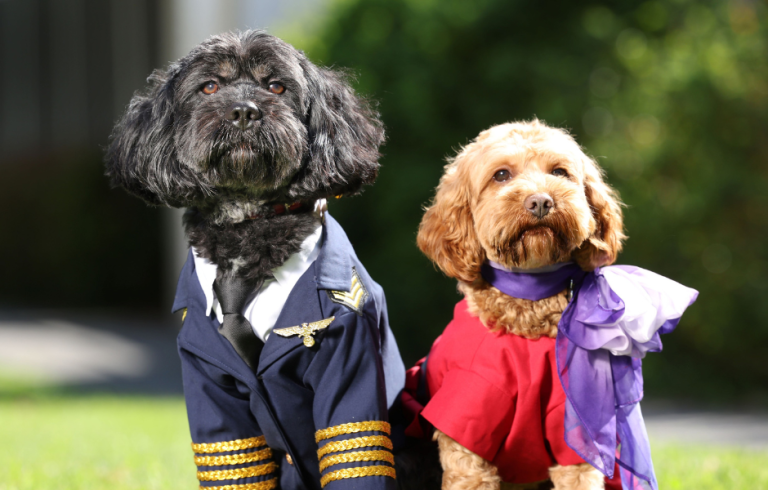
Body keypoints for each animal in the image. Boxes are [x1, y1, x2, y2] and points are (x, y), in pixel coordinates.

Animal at [108, 30, 414, 490]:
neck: (247, 229)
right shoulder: (210, 384)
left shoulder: (347, 359)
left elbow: (353, 449)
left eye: (276, 87)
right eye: (209, 86)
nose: (243, 112)